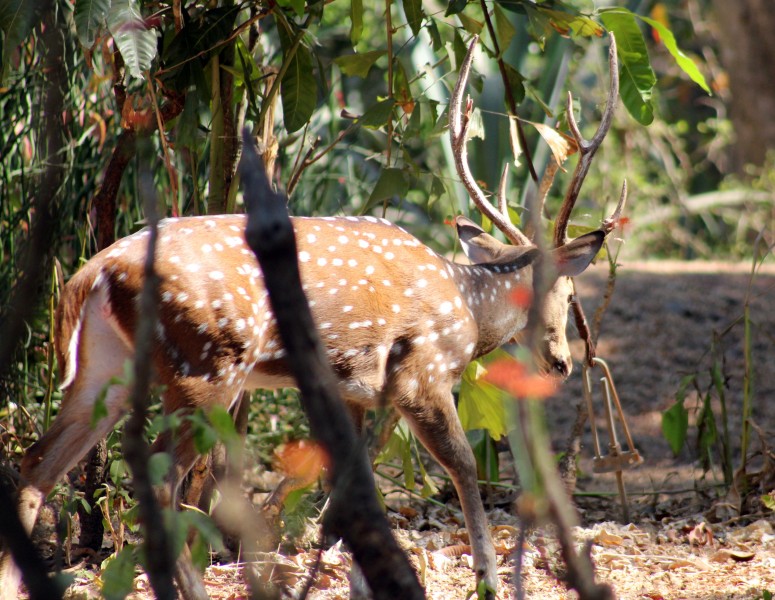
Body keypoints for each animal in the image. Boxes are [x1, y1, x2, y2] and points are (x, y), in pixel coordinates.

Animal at [0, 36, 628, 596]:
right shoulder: (420, 374)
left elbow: (352, 486)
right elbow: (464, 465)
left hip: (104, 366)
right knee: (156, 479)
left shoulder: (353, 389)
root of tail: (93, 274)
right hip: (206, 363)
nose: (561, 362)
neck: (467, 308)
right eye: (567, 290)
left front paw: (357, 581)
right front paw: (487, 579)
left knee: (38, 461)